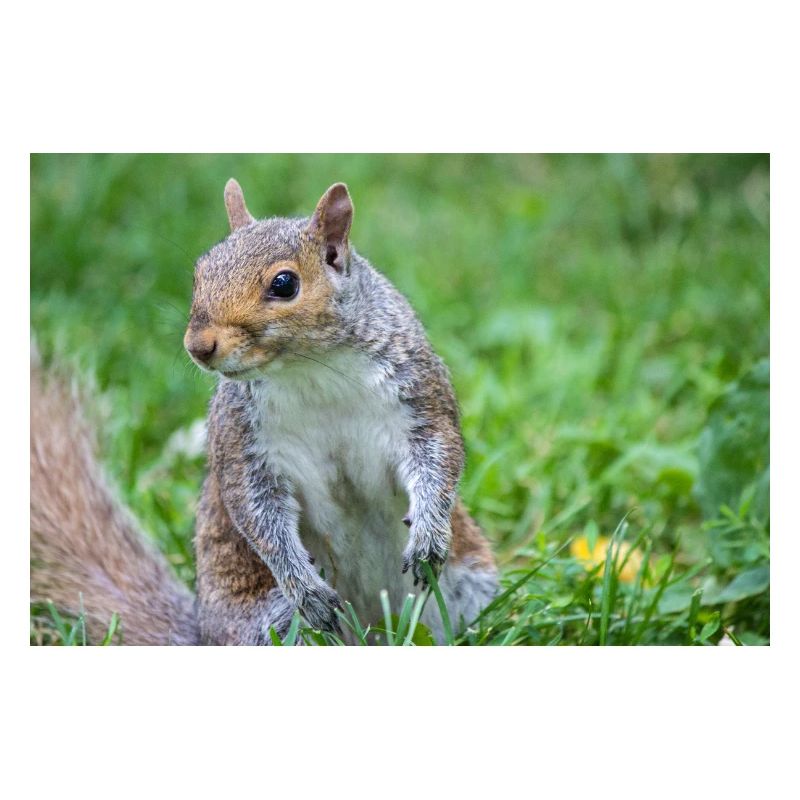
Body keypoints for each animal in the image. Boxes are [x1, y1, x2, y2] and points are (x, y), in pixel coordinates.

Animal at [30, 181, 497, 645]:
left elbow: (438, 458)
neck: (310, 368)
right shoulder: (243, 443)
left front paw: (428, 538)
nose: (198, 346)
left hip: (469, 581)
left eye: (285, 284)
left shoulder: (419, 395)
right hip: (271, 623)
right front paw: (306, 589)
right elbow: (258, 514)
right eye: (200, 273)